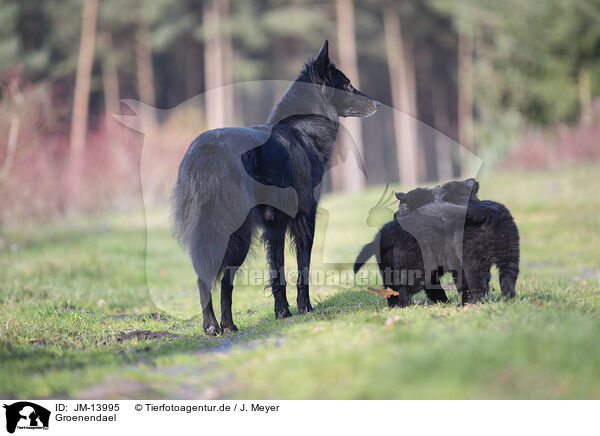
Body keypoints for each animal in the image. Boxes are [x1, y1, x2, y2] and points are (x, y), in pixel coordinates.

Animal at [171, 40, 378, 334]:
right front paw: (305, 308)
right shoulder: (305, 218)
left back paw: (221, 326)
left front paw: (282, 312)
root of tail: (205, 152)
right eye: (347, 84)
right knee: (222, 280)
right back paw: (219, 325)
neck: (302, 129)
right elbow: (303, 268)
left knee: (209, 279)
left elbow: (277, 271)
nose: (378, 103)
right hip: (238, 234)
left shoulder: (274, 225)